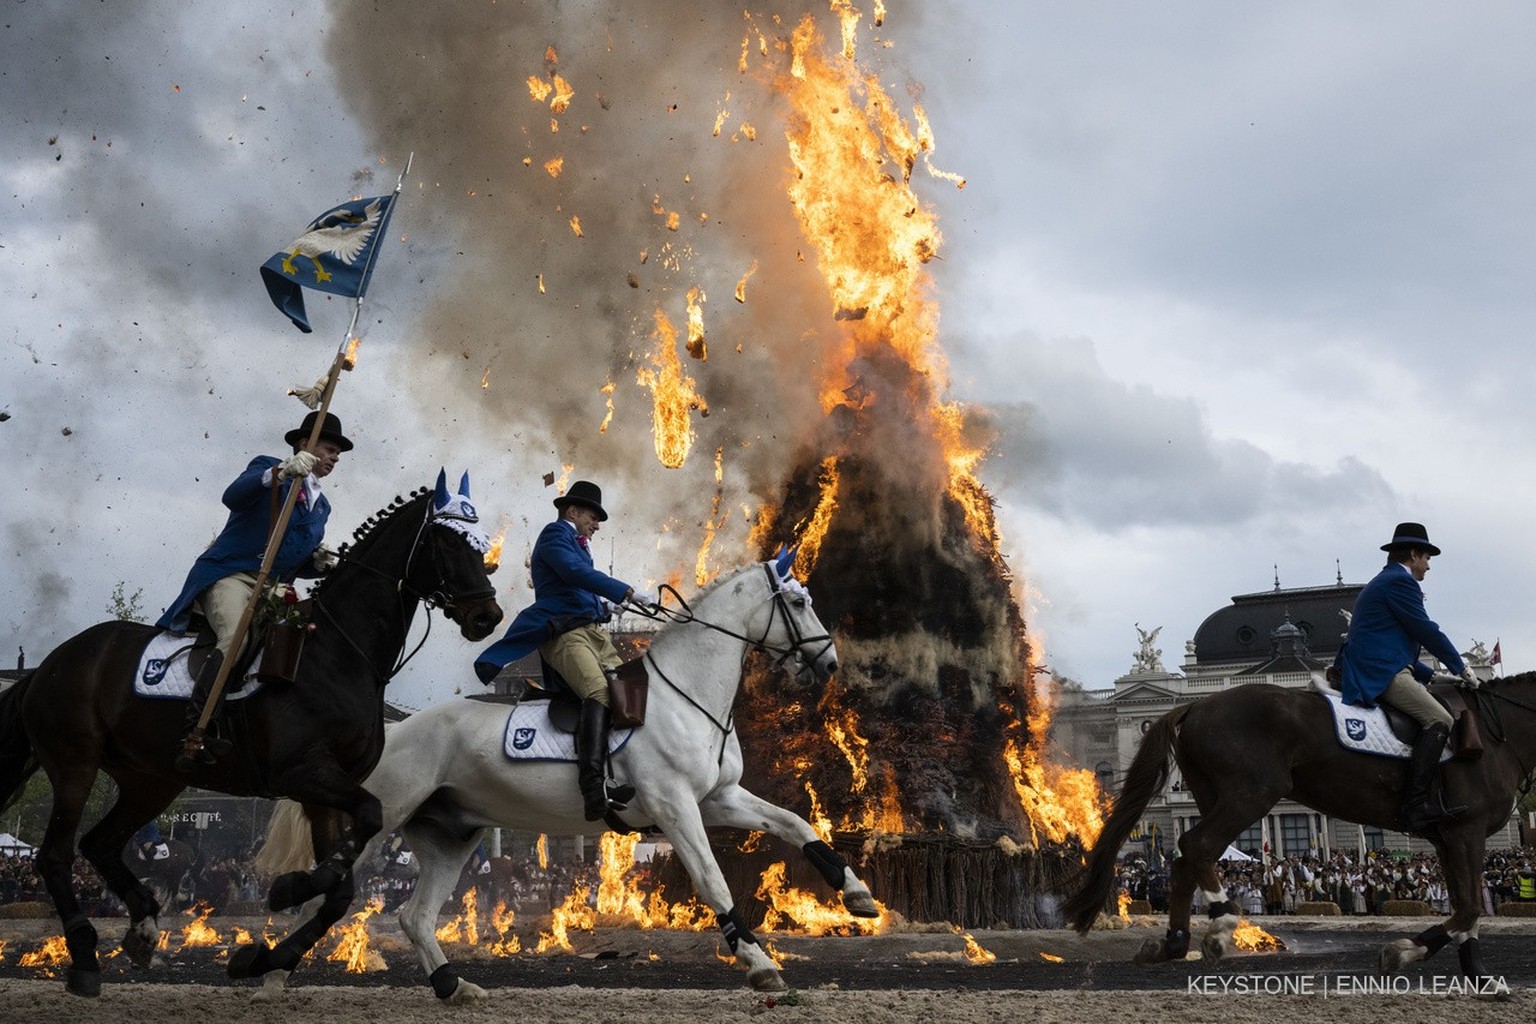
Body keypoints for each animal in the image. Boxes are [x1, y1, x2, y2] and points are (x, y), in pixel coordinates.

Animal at [0, 475, 497, 994]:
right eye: (448, 541)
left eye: (481, 545)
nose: (488, 615)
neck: (337, 652)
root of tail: (49, 663)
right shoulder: (303, 773)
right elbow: (366, 822)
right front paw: (288, 890)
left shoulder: (325, 789)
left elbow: (340, 890)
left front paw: (266, 951)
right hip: (74, 762)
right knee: (55, 855)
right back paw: (83, 954)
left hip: (151, 781)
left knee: (98, 843)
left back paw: (142, 929)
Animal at [258, 561, 872, 1000]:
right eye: (799, 602)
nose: (829, 665)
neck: (686, 694)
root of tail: (397, 729)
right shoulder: (675, 806)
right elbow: (714, 881)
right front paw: (760, 964)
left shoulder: (718, 798)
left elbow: (796, 824)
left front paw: (857, 893)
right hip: (381, 822)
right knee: (329, 895)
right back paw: (271, 972)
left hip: (450, 837)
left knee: (414, 916)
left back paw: (453, 987)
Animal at [1062, 675, 1536, 982]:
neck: (1495, 733)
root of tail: (1194, 703)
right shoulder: (1466, 832)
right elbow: (1470, 906)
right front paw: (1408, 953)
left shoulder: (1449, 838)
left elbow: (1465, 905)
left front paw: (1476, 973)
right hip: (1251, 795)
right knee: (1195, 844)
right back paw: (1222, 922)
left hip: (1216, 796)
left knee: (1185, 860)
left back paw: (1176, 943)